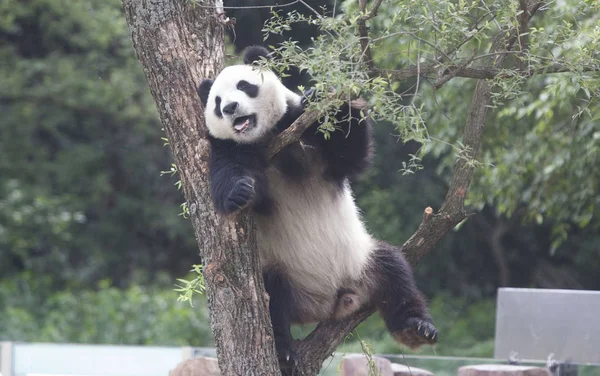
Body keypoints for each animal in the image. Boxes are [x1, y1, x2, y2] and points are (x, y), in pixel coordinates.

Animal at [197, 47, 436, 362]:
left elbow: (350, 153)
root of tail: (326, 306)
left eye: (244, 85)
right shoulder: (228, 147)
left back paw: (415, 327)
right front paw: (239, 191)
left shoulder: (303, 133)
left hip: (360, 259)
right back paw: (284, 353)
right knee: (272, 300)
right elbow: (226, 176)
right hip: (279, 267)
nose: (231, 108)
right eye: (216, 102)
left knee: (394, 272)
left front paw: (323, 96)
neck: (267, 137)